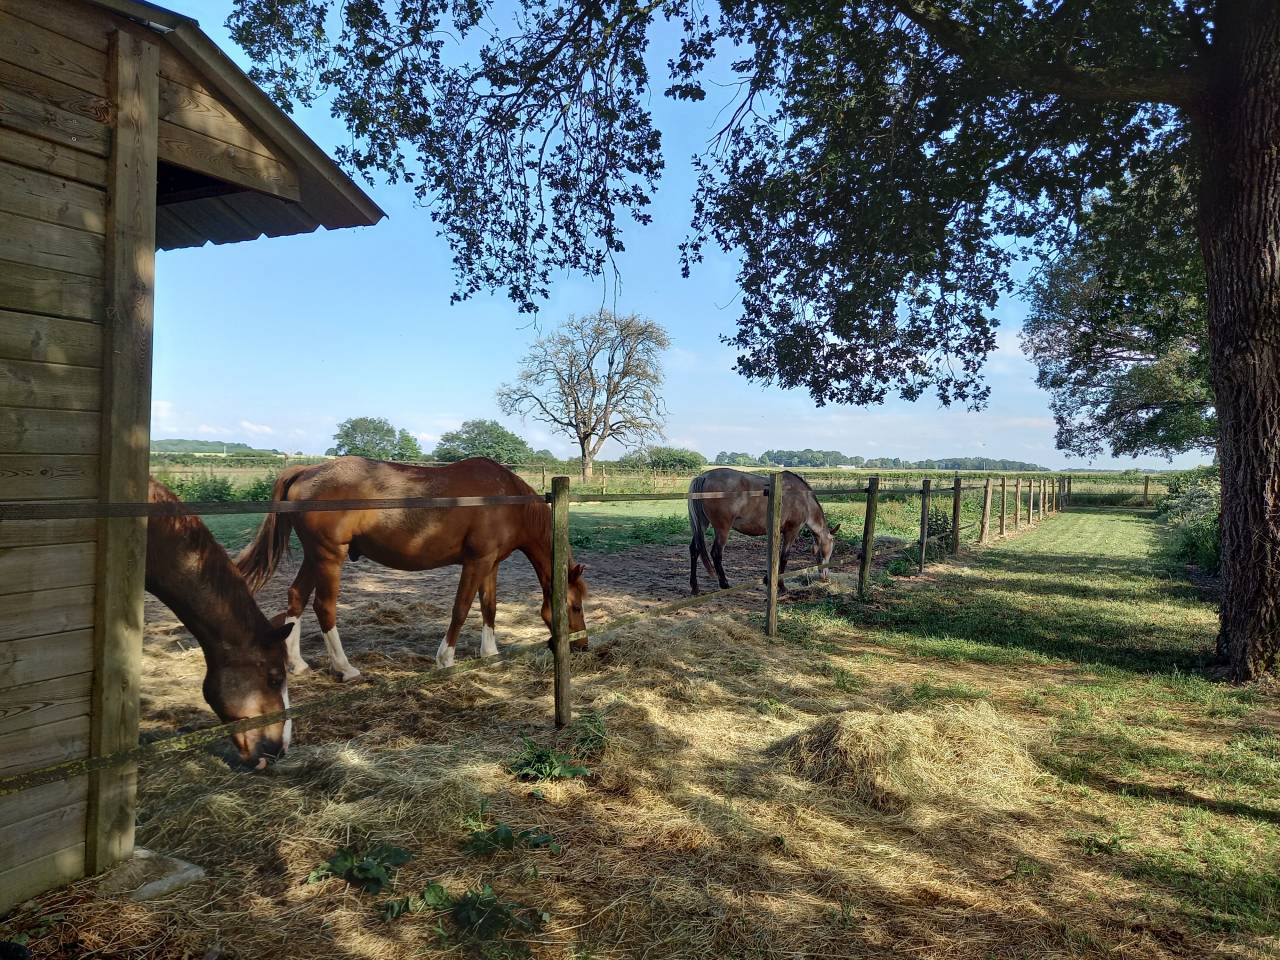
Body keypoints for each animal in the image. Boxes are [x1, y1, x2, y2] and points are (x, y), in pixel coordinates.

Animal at [235, 456, 589, 677]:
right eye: (575, 606)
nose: (582, 645)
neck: (507, 500)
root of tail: (307, 471)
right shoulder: (476, 562)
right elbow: (461, 608)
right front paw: (445, 659)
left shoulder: (491, 564)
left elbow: (489, 606)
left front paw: (491, 654)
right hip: (328, 556)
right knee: (324, 607)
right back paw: (344, 668)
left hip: (313, 556)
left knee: (296, 596)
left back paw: (297, 664)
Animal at [687, 468, 839, 595]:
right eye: (831, 546)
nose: (825, 575)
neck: (802, 498)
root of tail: (704, 476)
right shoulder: (791, 531)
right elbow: (784, 557)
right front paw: (781, 586)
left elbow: (774, 558)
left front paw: (768, 580)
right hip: (722, 529)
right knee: (716, 553)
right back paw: (724, 584)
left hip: (702, 524)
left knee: (695, 550)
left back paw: (695, 587)